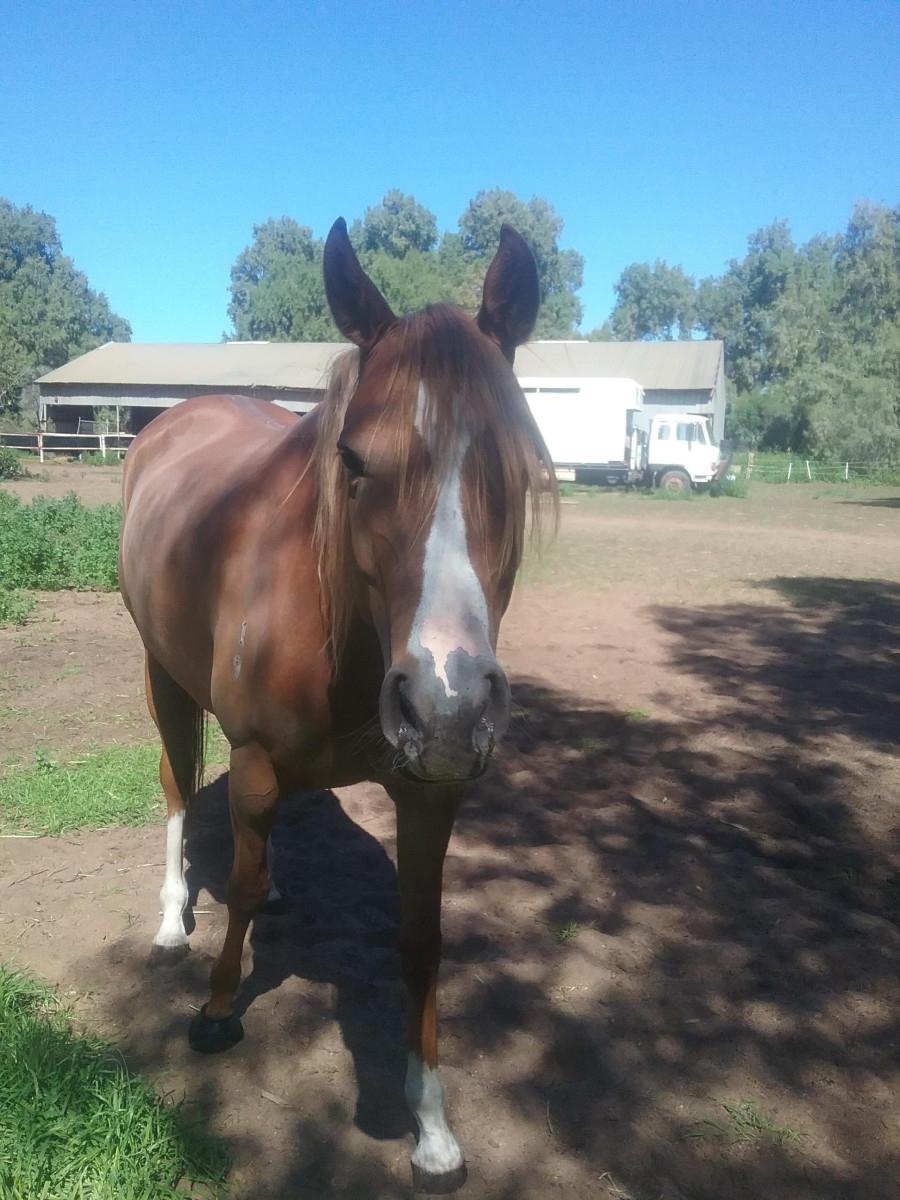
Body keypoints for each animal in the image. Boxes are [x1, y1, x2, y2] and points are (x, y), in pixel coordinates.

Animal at [119, 218, 555, 1194]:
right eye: (354, 462)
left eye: (521, 465)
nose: (445, 703)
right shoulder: (250, 752)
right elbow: (237, 884)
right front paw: (216, 1010)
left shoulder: (431, 791)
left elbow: (420, 939)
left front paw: (431, 1126)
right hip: (165, 677)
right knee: (177, 789)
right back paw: (169, 922)